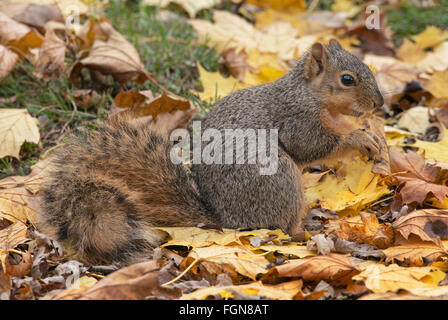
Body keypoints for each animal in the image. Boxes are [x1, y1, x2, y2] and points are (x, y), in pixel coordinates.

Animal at [36, 40, 384, 264]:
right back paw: (304, 230)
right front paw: (358, 138)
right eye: (347, 79)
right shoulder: (296, 119)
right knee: (281, 227)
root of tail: (224, 220)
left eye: (368, 67)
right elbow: (313, 145)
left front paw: (370, 132)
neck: (310, 94)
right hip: (279, 180)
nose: (379, 104)